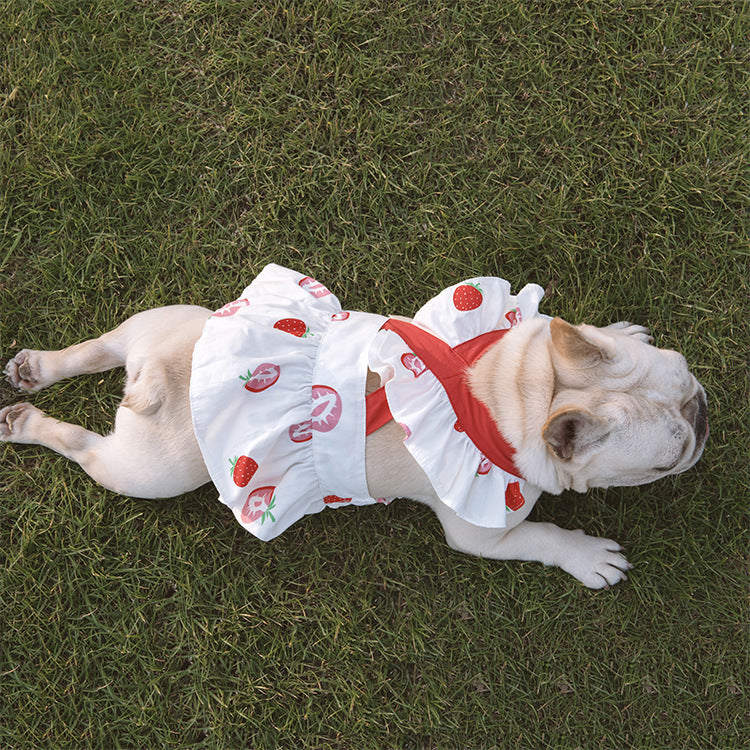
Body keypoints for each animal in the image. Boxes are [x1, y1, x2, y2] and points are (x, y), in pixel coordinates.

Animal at [0, 268, 708, 592]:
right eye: (664, 462)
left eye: (685, 376)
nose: (701, 414)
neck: (521, 393)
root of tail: (155, 379)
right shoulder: (481, 532)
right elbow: (543, 538)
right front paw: (588, 557)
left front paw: (615, 332)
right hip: (149, 471)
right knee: (83, 445)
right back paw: (27, 422)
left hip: (164, 322)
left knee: (97, 348)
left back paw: (35, 370)